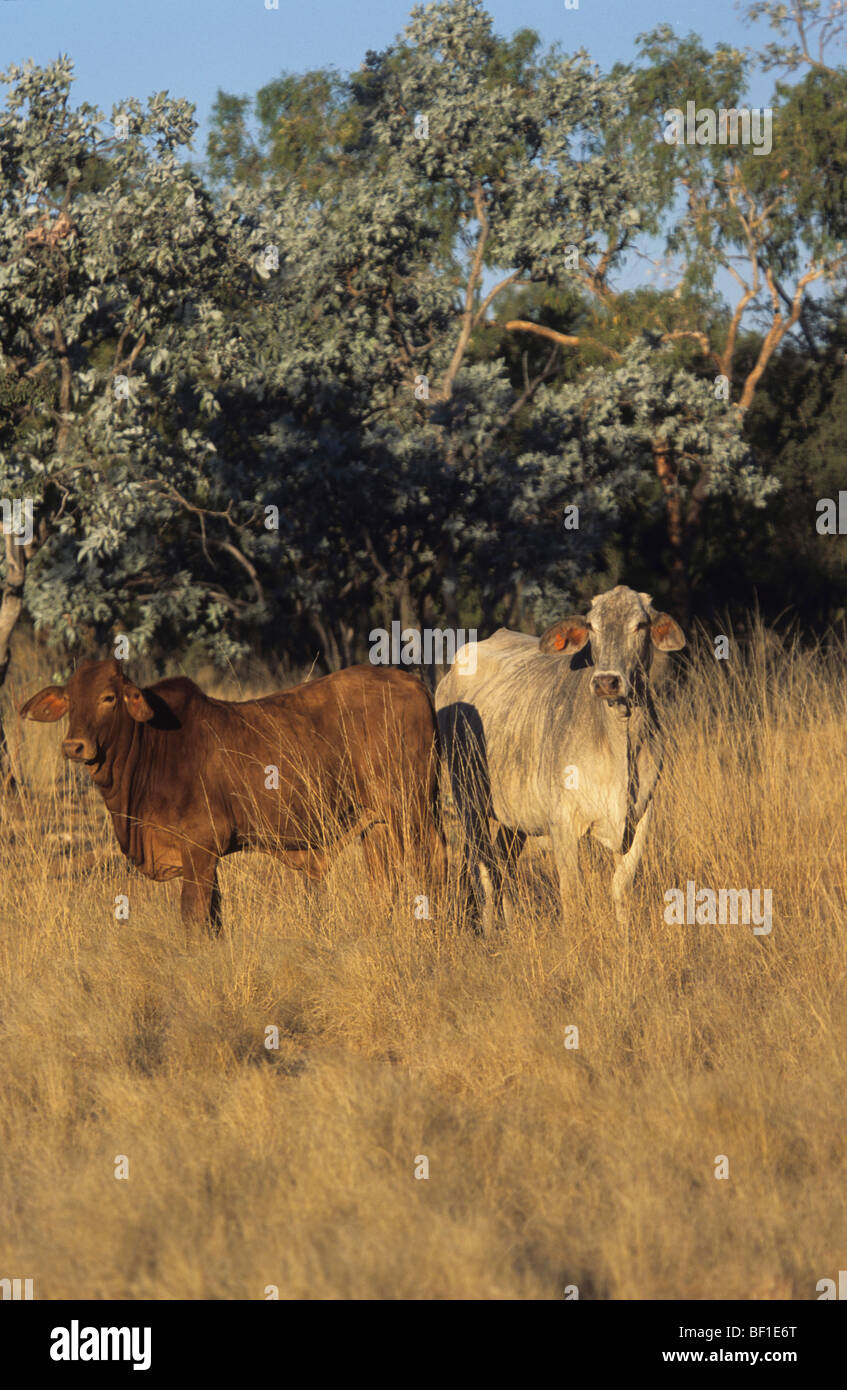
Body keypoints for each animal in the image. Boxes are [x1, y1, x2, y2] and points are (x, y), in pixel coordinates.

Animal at [20, 659, 446, 935]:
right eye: (70, 701)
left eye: (109, 698)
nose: (74, 746)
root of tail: (411, 682)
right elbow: (214, 918)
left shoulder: (200, 849)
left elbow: (194, 919)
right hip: (378, 824)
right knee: (384, 881)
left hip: (412, 810)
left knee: (433, 862)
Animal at [435, 585, 685, 931]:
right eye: (592, 626)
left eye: (641, 625)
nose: (606, 681)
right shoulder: (563, 822)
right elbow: (573, 895)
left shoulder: (641, 816)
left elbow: (621, 887)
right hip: (468, 799)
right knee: (481, 868)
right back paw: (490, 931)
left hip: (514, 815)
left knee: (504, 863)